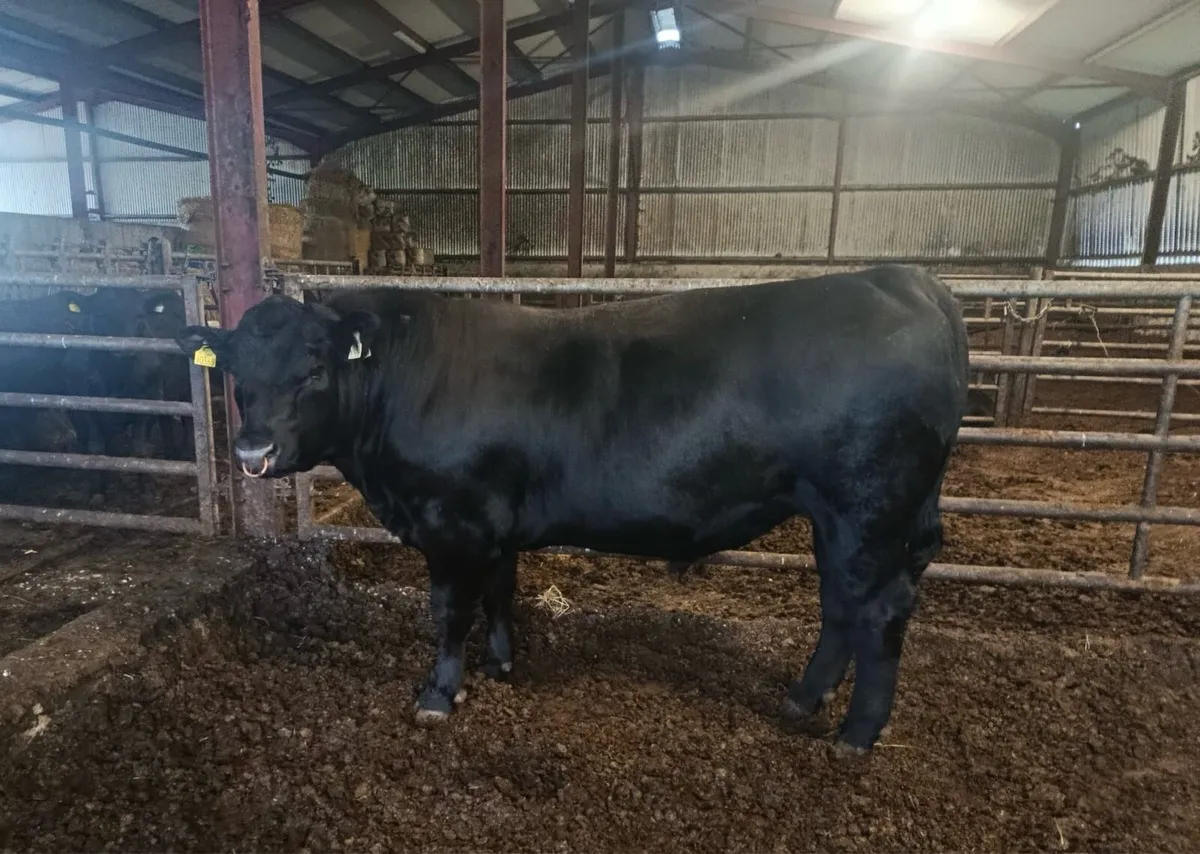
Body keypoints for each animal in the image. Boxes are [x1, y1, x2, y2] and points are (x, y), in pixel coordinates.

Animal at [178, 264, 969, 753]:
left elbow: (449, 611)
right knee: (842, 603)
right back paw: (804, 698)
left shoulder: (451, 520)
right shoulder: (494, 522)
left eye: (314, 368)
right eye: (237, 373)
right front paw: (501, 664)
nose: (251, 452)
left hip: (867, 508)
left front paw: (439, 693)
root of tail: (903, 278)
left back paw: (856, 735)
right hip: (848, 519)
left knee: (877, 611)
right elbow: (500, 593)